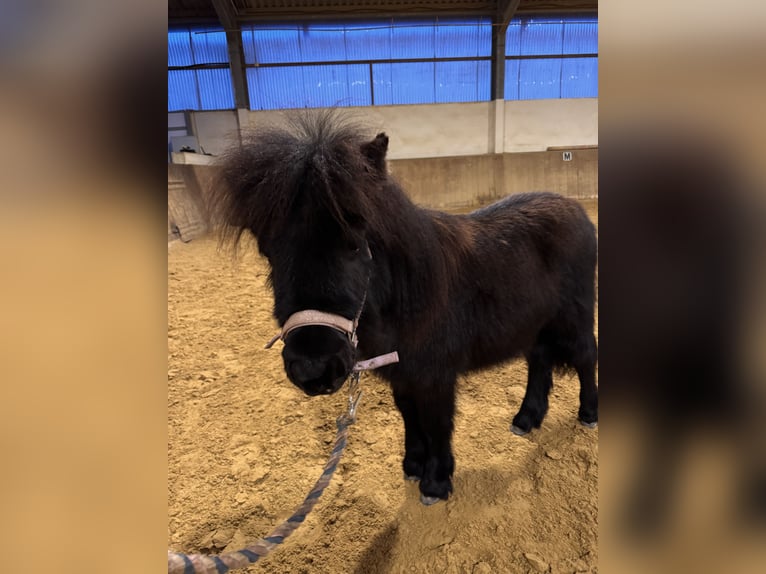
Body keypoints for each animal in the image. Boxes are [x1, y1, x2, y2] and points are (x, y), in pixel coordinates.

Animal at [212, 111, 600, 504]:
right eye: (267, 251)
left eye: (354, 244)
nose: (313, 370)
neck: (408, 296)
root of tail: (577, 211)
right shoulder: (402, 374)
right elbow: (409, 416)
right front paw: (413, 465)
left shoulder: (436, 376)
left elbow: (437, 422)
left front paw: (436, 483)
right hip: (536, 325)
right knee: (539, 361)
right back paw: (526, 419)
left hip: (575, 319)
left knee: (586, 357)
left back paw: (588, 413)